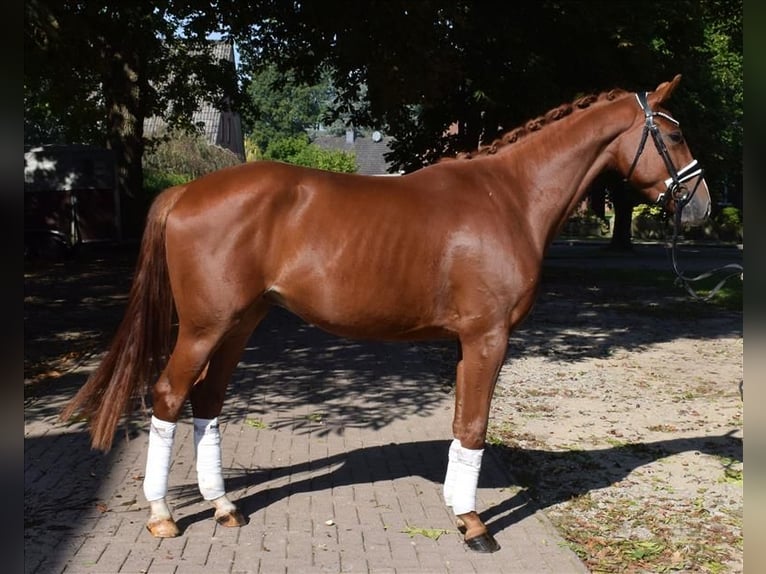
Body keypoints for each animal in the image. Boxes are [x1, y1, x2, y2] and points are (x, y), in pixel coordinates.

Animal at [61, 75, 712, 552]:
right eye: (675, 135)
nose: (702, 206)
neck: (509, 197)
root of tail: (184, 192)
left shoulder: (465, 342)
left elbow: (461, 423)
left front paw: (457, 509)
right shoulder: (489, 337)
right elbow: (475, 426)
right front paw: (476, 526)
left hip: (240, 324)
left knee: (208, 401)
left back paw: (224, 506)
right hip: (204, 327)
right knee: (170, 396)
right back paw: (163, 515)